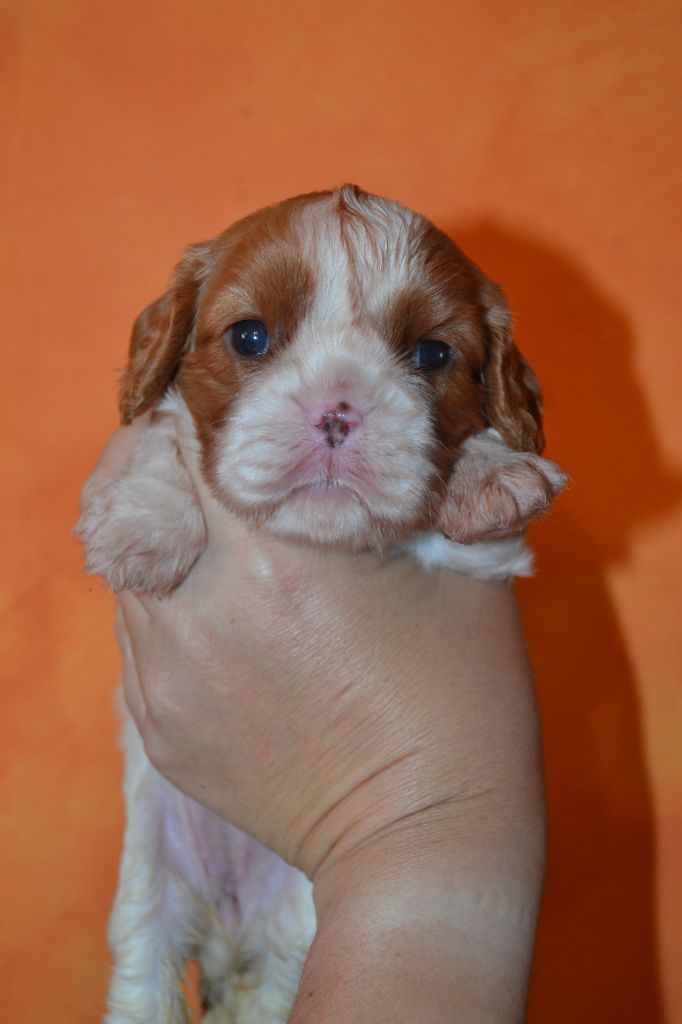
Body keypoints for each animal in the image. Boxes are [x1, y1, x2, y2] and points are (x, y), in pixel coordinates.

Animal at [77, 185, 567, 1023]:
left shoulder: (487, 561)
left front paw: (490, 474)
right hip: (151, 895)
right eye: (250, 336)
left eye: (432, 355)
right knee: (144, 978)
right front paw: (146, 522)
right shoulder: (146, 435)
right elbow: (157, 438)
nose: (337, 410)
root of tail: (232, 929)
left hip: (296, 936)